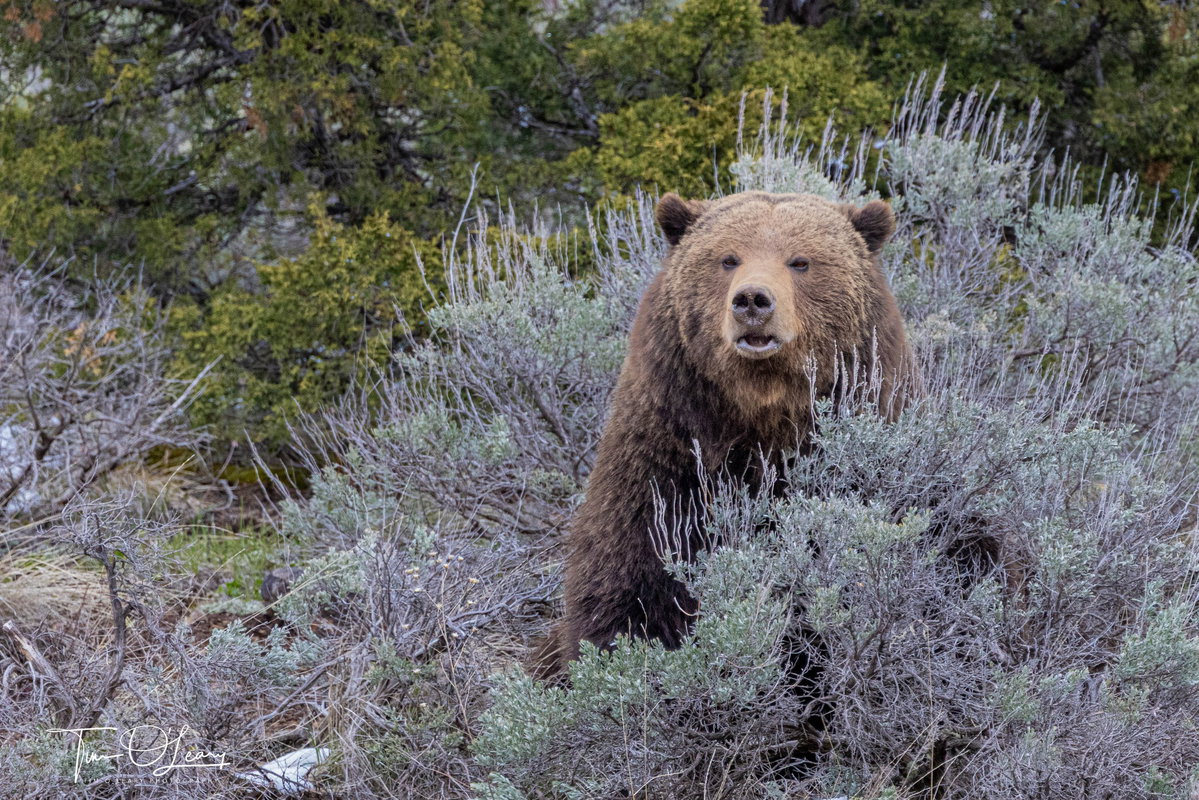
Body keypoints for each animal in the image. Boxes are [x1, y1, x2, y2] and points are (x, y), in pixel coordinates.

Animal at [532, 190, 916, 678]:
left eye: (801, 261)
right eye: (728, 258)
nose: (753, 300)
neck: (762, 416)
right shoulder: (668, 455)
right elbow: (630, 574)